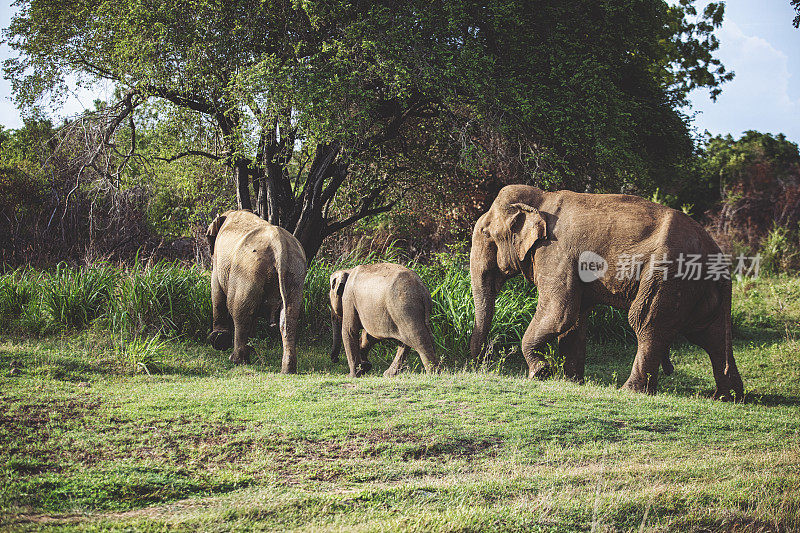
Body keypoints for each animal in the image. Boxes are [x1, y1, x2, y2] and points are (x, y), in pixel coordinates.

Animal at [206, 210, 306, 372]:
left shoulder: (218, 259)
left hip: (249, 270)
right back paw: (287, 369)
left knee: (239, 312)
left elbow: (217, 290)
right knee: (289, 316)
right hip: (294, 273)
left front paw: (218, 341)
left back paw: (237, 360)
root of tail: (280, 246)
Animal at [468, 184, 744, 400]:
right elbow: (574, 320)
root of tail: (716, 253)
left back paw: (630, 391)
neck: (541, 197)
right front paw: (570, 381)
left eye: (485, 233)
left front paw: (540, 373)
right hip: (697, 286)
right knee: (710, 335)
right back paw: (727, 397)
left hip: (668, 275)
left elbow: (559, 313)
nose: (478, 365)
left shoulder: (555, 252)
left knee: (645, 322)